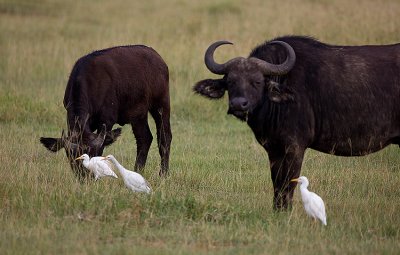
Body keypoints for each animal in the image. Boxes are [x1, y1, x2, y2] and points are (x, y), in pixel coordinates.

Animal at [41, 44, 172, 179]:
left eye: (95, 153)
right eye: (72, 155)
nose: (86, 177)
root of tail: (158, 58)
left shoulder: (107, 120)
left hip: (161, 105)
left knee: (164, 137)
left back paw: (163, 173)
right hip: (138, 115)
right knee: (144, 138)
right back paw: (137, 171)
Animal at [195, 35, 400, 210]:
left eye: (257, 81)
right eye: (230, 81)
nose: (238, 104)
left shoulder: (295, 148)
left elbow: (288, 184)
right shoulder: (274, 150)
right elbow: (277, 184)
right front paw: (278, 211)